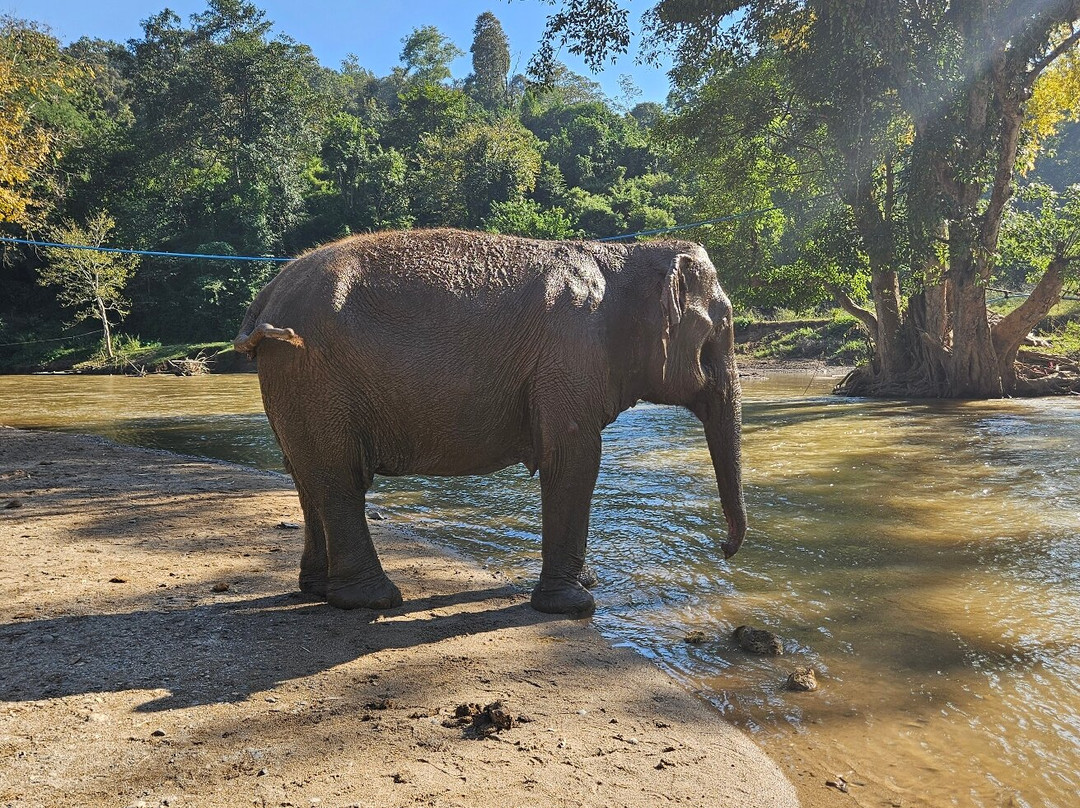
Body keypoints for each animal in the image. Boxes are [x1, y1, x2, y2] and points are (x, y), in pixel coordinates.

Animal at [233, 228, 746, 617]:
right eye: (720, 331)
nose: (724, 550)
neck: (627, 256)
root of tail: (268, 296)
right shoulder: (570, 354)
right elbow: (575, 456)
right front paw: (576, 603)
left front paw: (589, 582)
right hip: (317, 378)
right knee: (339, 476)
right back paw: (374, 600)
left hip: (295, 382)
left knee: (306, 474)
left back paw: (317, 591)